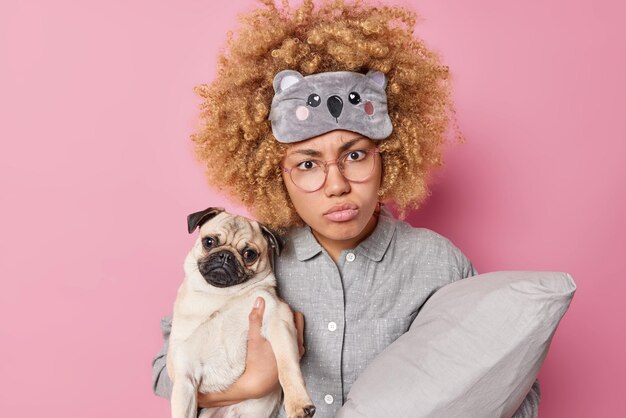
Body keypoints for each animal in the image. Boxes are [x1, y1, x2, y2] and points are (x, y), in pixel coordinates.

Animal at [166, 207, 314, 418]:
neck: (221, 295)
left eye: (249, 254)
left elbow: (287, 367)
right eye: (209, 242)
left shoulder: (277, 318)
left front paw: (298, 404)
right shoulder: (184, 375)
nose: (226, 256)